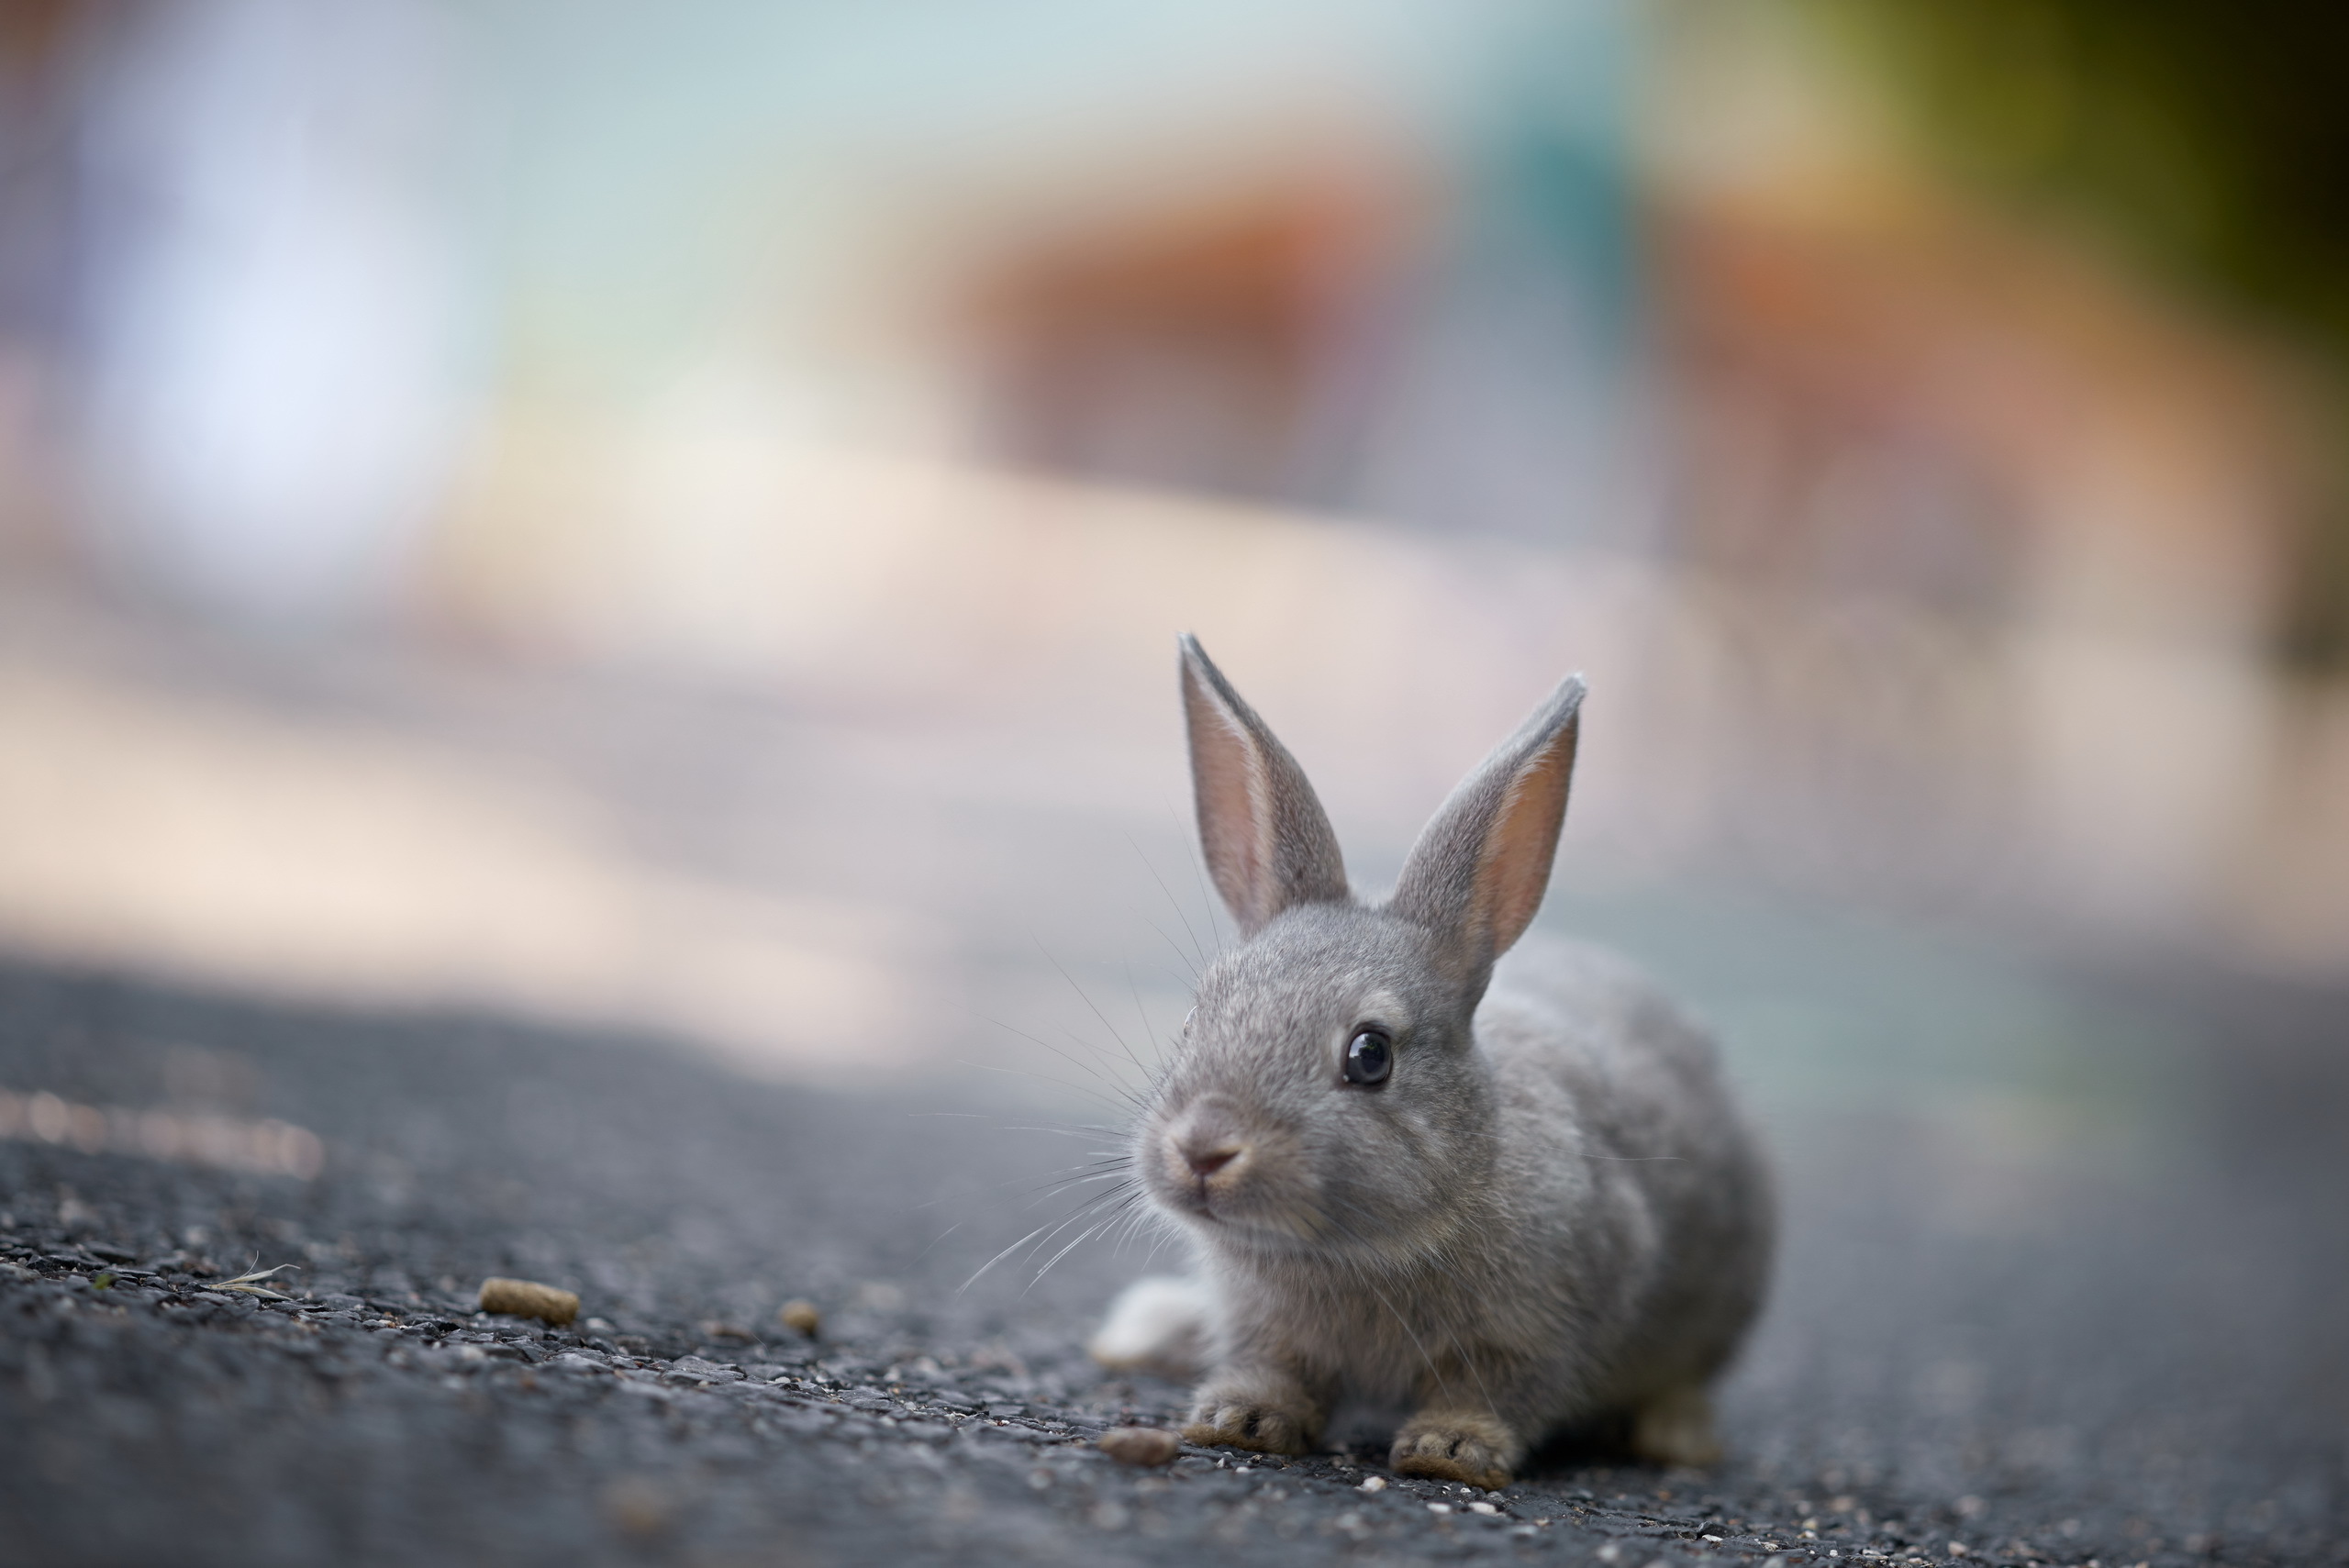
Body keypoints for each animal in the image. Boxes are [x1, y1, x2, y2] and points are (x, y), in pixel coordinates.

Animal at [1089, 638, 1766, 1493]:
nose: (1204, 1149)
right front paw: (1238, 1418)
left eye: (1370, 1054)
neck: (1355, 1248)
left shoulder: (1544, 1322)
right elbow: (1273, 1368)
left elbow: (1498, 1391)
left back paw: (1676, 1434)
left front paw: (1449, 1449)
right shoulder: (1262, 1325)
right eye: (1192, 1020)